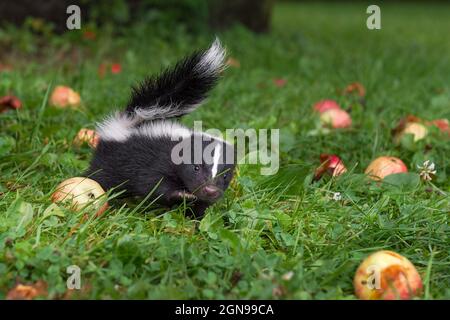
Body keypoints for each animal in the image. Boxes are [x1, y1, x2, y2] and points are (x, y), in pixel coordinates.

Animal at [86, 38, 237, 216]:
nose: (210, 190)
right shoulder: (156, 161)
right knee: (101, 176)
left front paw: (195, 217)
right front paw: (181, 195)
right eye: (196, 167)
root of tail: (131, 120)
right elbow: (153, 183)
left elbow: (199, 206)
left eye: (225, 176)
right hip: (112, 159)